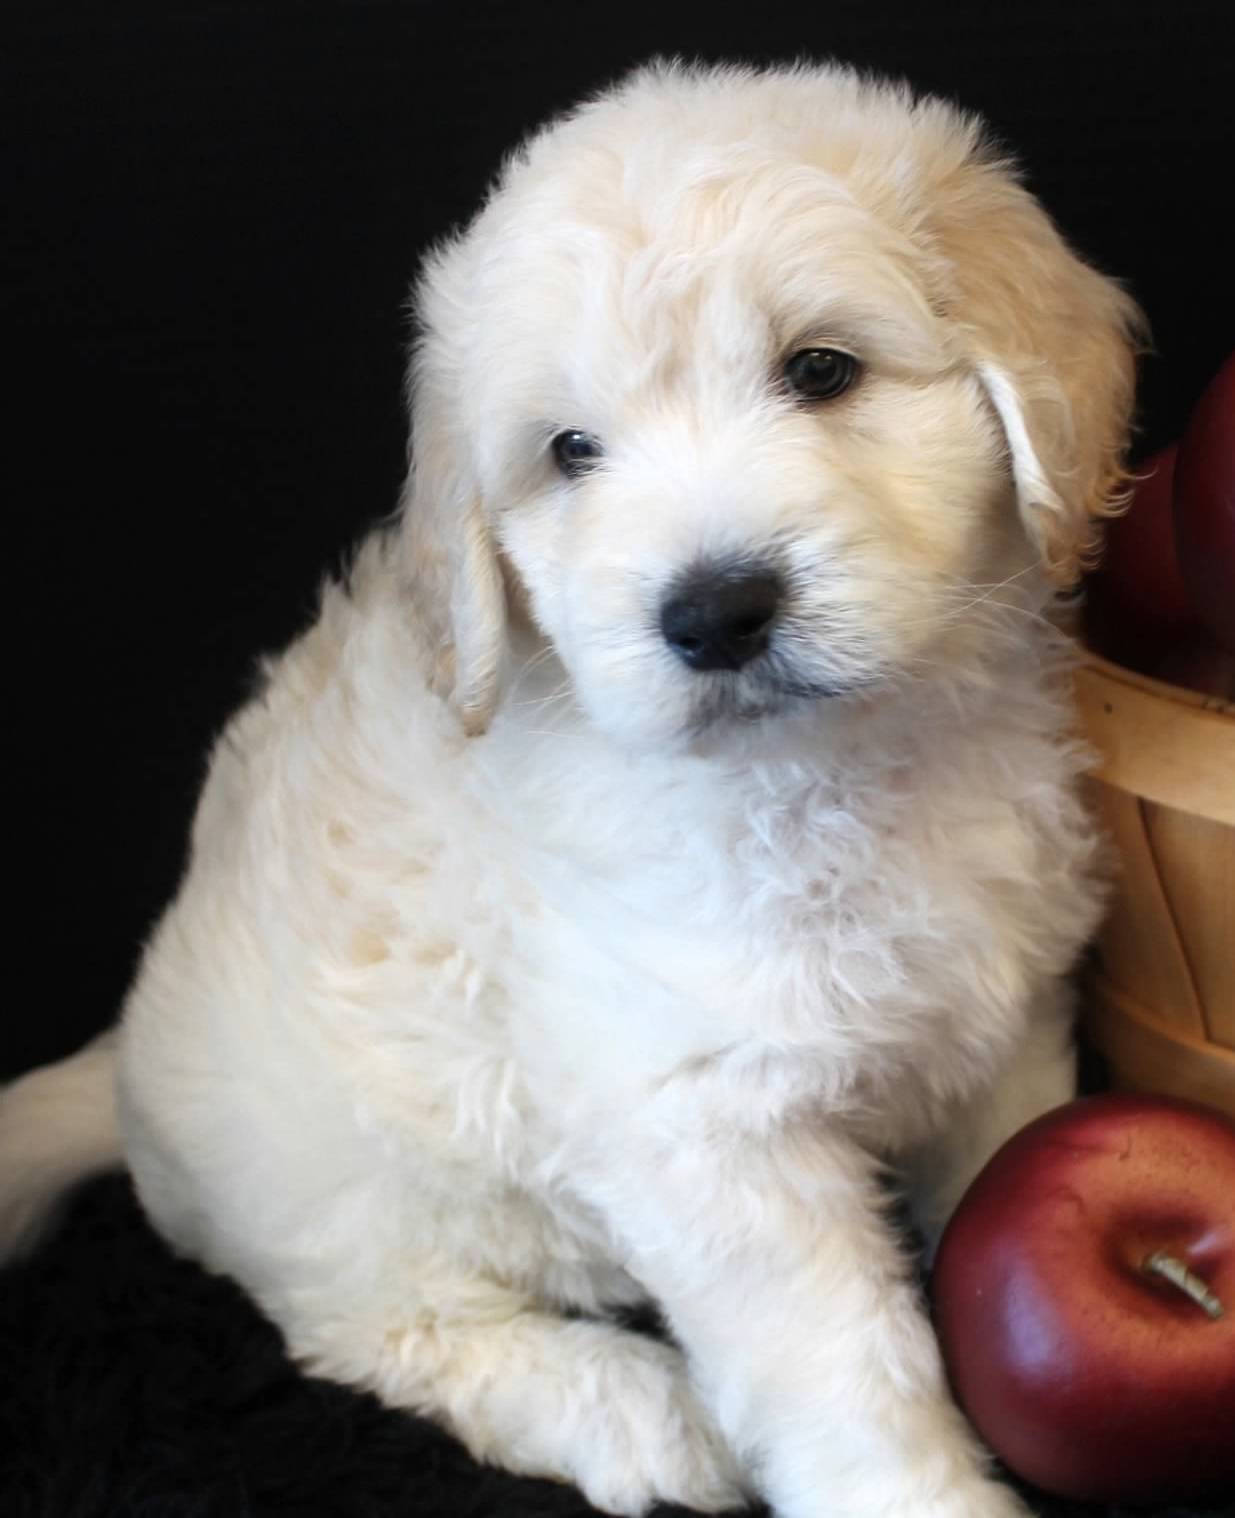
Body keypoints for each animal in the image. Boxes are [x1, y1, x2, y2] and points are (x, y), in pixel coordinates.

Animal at [0, 59, 1140, 1518]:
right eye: (572, 451)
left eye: (819, 369)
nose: (713, 612)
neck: (831, 769)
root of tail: (127, 1076)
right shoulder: (712, 1131)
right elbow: (850, 1375)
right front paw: (921, 1497)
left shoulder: (1000, 1015)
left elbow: (1008, 1159)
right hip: (357, 1206)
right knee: (385, 1330)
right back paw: (635, 1413)